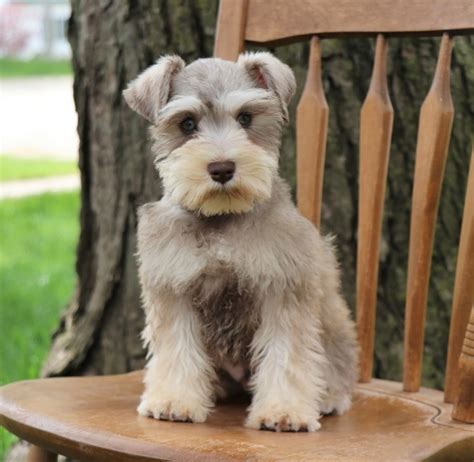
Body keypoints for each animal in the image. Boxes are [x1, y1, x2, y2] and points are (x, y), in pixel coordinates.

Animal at [124, 52, 358, 432]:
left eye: (246, 117)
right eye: (187, 124)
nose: (221, 168)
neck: (222, 217)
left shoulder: (283, 287)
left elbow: (285, 353)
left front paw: (283, 411)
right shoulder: (173, 288)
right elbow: (177, 349)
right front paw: (174, 401)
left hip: (334, 325)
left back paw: (328, 396)